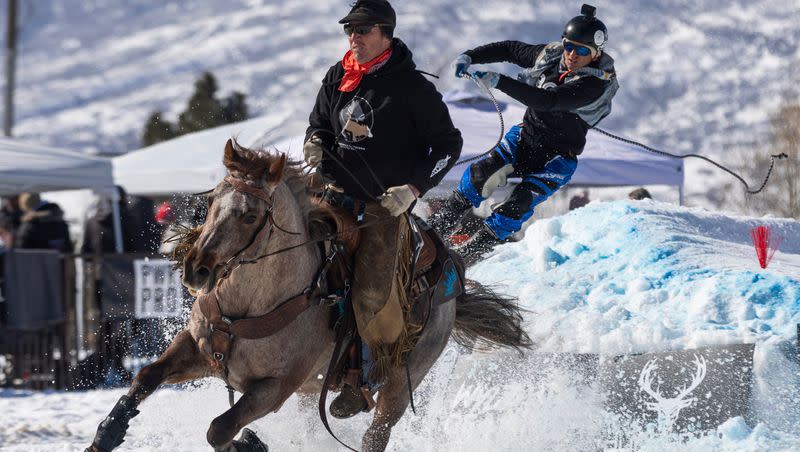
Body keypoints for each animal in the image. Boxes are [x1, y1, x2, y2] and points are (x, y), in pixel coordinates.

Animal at [84, 139, 532, 452]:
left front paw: (250, 443)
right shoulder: (197, 350)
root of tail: (450, 278)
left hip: (400, 385)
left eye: (250, 215)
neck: (248, 307)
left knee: (376, 433)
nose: (197, 268)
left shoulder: (275, 386)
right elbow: (146, 376)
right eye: (211, 201)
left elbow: (219, 428)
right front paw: (106, 433)